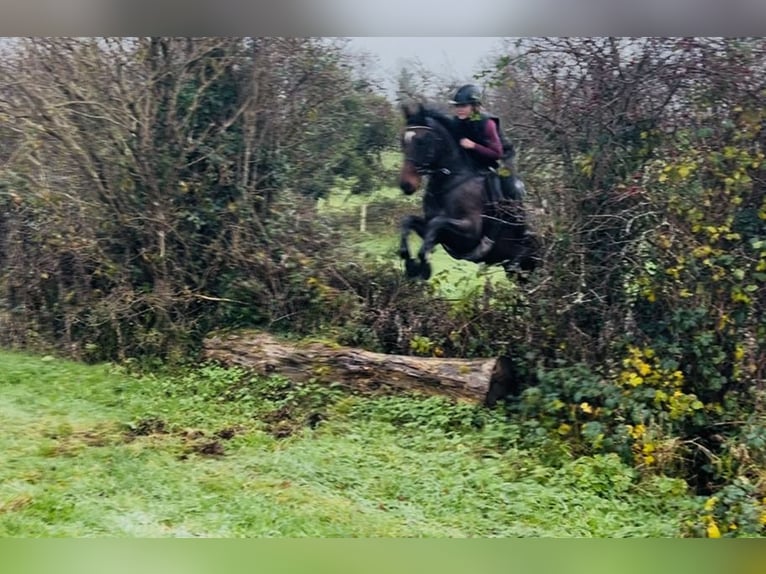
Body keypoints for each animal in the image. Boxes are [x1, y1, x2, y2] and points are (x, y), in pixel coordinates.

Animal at [397, 102, 540, 281]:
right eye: (403, 141)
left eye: (422, 141)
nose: (406, 185)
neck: (451, 183)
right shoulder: (436, 232)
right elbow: (409, 222)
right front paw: (410, 264)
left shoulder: (469, 234)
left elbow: (438, 223)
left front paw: (423, 267)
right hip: (518, 271)